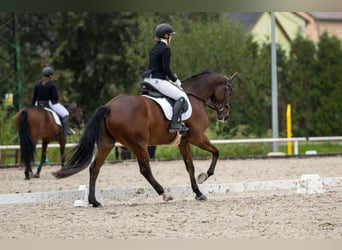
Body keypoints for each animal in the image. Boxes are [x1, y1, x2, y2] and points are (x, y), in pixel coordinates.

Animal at [53, 71, 236, 207]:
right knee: (145, 169)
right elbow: (216, 152)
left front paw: (198, 192)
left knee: (95, 168)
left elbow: (189, 166)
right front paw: (205, 176)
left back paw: (94, 201)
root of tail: (110, 106)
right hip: (138, 144)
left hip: (107, 144)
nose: (225, 115)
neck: (195, 96)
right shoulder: (197, 137)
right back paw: (165, 194)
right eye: (230, 90)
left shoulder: (183, 142)